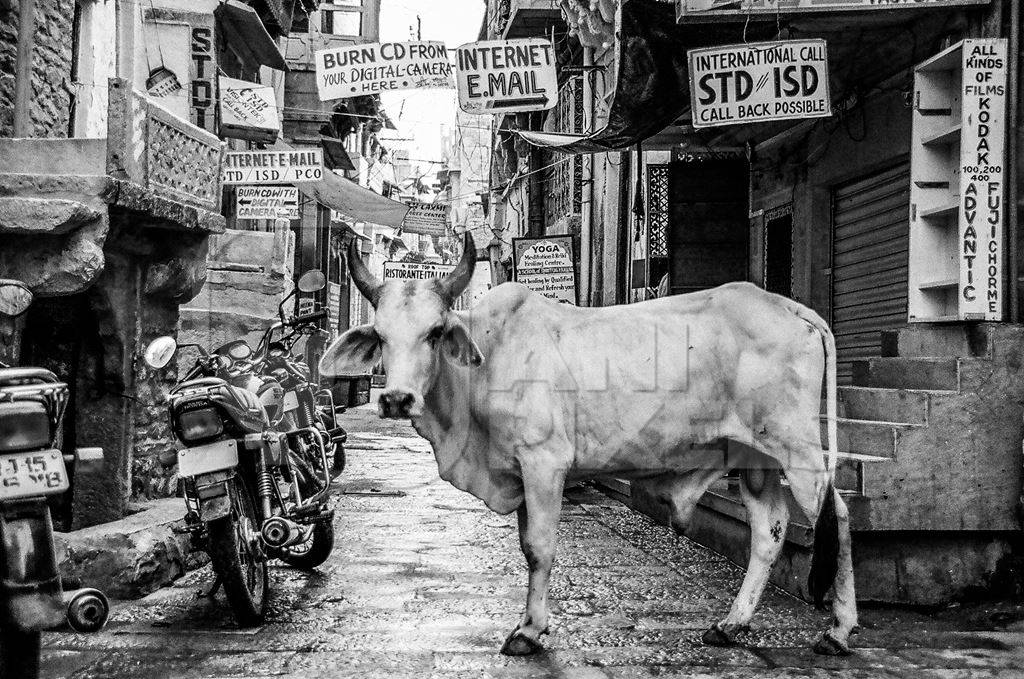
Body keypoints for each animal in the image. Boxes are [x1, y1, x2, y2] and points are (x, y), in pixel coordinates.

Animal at [321, 235, 856, 659]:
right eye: (381, 336)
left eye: (434, 333)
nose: (395, 399)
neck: (487, 361)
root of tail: (790, 308)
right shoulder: (520, 472)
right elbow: (526, 546)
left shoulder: (543, 464)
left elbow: (539, 548)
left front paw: (529, 632)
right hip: (755, 457)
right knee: (770, 529)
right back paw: (731, 625)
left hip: (798, 449)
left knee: (839, 517)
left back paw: (838, 632)